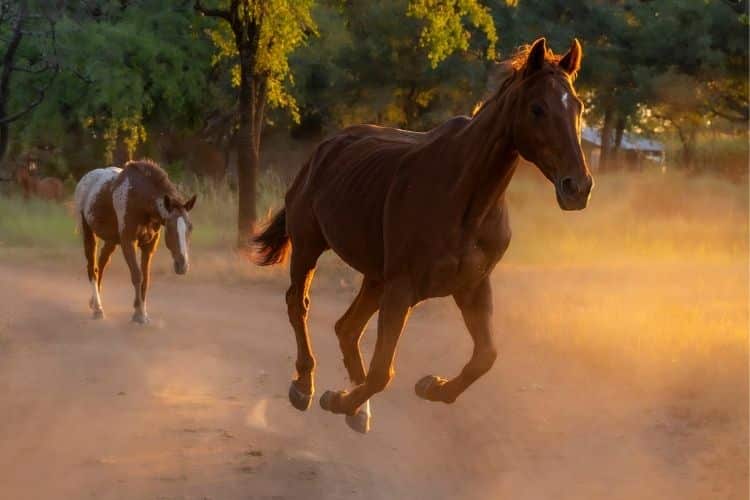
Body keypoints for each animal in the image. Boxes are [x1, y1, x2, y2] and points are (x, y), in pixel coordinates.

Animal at [74, 160, 197, 323]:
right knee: (92, 268)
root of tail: (85, 180)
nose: (182, 266)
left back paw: (93, 302)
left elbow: (146, 279)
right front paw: (138, 315)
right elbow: (137, 275)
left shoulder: (149, 246)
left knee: (101, 265)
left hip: (111, 241)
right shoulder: (128, 242)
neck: (139, 199)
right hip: (88, 234)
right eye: (170, 227)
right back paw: (98, 309)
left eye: (191, 227)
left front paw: (142, 312)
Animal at [252, 37, 593, 434]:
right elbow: (383, 372)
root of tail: (324, 148)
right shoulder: (403, 289)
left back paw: (358, 410)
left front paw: (432, 386)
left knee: (347, 327)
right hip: (309, 246)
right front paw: (335, 399)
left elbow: (486, 356)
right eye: (537, 108)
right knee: (299, 305)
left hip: (375, 278)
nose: (578, 187)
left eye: (579, 106)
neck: (464, 199)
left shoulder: (472, 287)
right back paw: (305, 386)